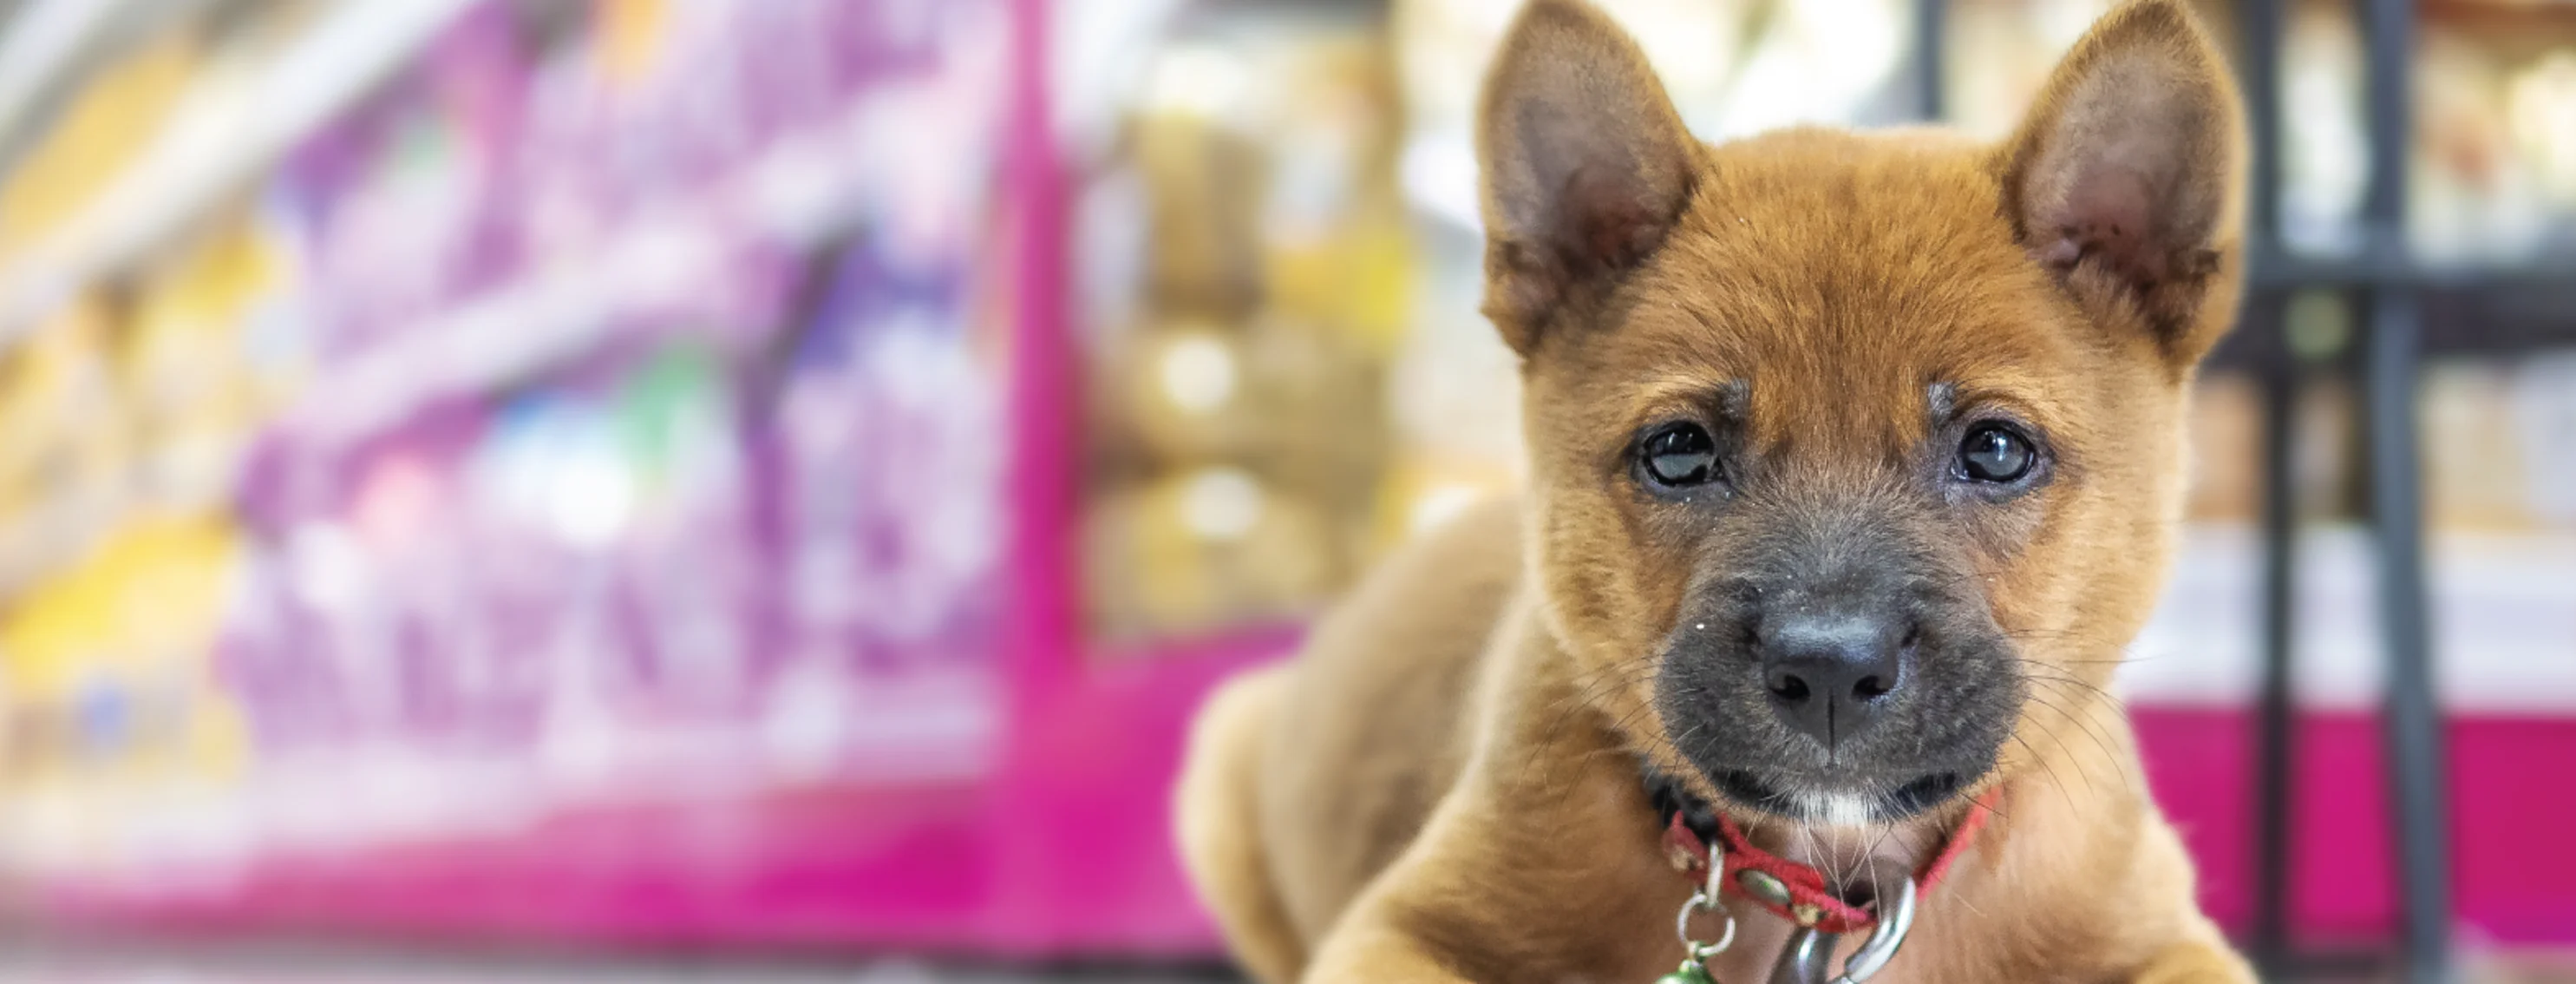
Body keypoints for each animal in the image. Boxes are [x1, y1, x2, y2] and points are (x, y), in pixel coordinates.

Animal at [1180, 2, 2256, 984]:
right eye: (1680, 454)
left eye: (1995, 451)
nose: (1830, 671)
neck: (1828, 886)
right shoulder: (1399, 931)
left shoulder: (2166, 939)